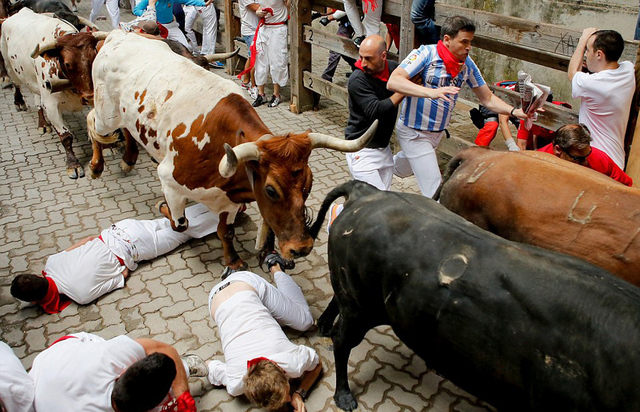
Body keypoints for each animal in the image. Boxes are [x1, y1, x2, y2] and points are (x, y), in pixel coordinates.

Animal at [0, 8, 107, 179]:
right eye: (68, 64)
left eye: (94, 56)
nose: (89, 96)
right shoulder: (51, 105)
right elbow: (66, 137)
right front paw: (73, 165)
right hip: (10, 66)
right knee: (17, 85)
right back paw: (20, 102)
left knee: (37, 99)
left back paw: (42, 123)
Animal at [86, 30, 376, 276]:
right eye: (271, 190)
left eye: (309, 184)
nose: (301, 248)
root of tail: (117, 34)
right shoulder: (169, 178)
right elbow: (179, 224)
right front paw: (163, 206)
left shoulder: (228, 199)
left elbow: (224, 231)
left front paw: (233, 259)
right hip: (106, 115)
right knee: (93, 122)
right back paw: (96, 165)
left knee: (124, 129)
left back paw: (128, 159)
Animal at [312, 182, 640, 410]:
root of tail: (368, 192)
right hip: (359, 307)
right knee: (342, 342)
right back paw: (344, 395)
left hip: (353, 294)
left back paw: (324, 326)